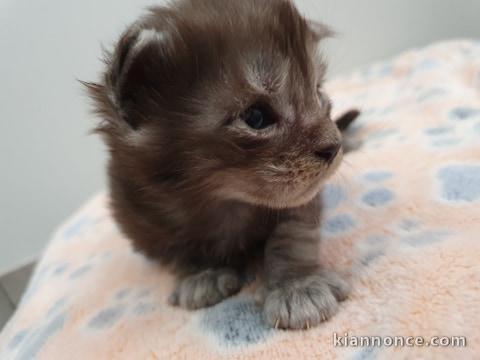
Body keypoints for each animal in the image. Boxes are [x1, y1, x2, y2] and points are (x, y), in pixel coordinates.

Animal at [85, 0, 356, 330]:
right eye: (256, 117)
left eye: (318, 93)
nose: (334, 146)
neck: (222, 202)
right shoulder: (143, 217)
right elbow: (179, 252)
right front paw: (204, 273)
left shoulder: (301, 202)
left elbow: (293, 237)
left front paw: (298, 287)